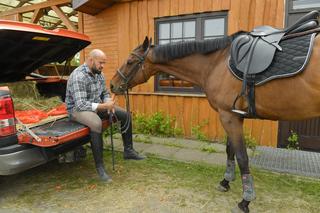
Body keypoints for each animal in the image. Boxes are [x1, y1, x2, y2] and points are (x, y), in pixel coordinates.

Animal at [109, 31, 320, 211]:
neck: (216, 64)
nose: (112, 85)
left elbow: (242, 157)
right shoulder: (232, 115)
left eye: (129, 61)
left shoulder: (228, 116)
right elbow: (230, 151)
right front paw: (225, 182)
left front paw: (245, 201)